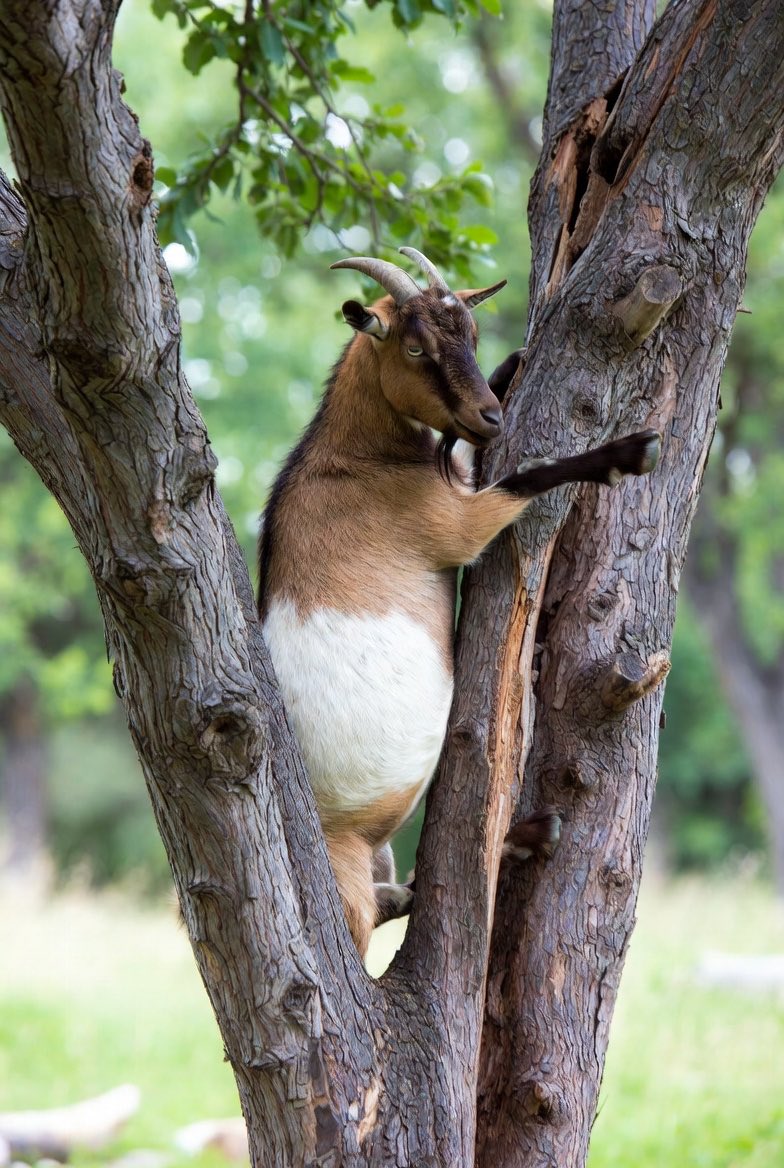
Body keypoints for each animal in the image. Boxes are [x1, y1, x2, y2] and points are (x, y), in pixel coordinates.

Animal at [258, 248, 660, 957]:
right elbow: (526, 478)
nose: (491, 416)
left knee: (399, 897)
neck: (358, 456)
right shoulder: (449, 521)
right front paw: (626, 453)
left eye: (469, 335)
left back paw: (526, 835)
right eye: (415, 346)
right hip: (347, 879)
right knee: (375, 924)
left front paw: (514, 363)